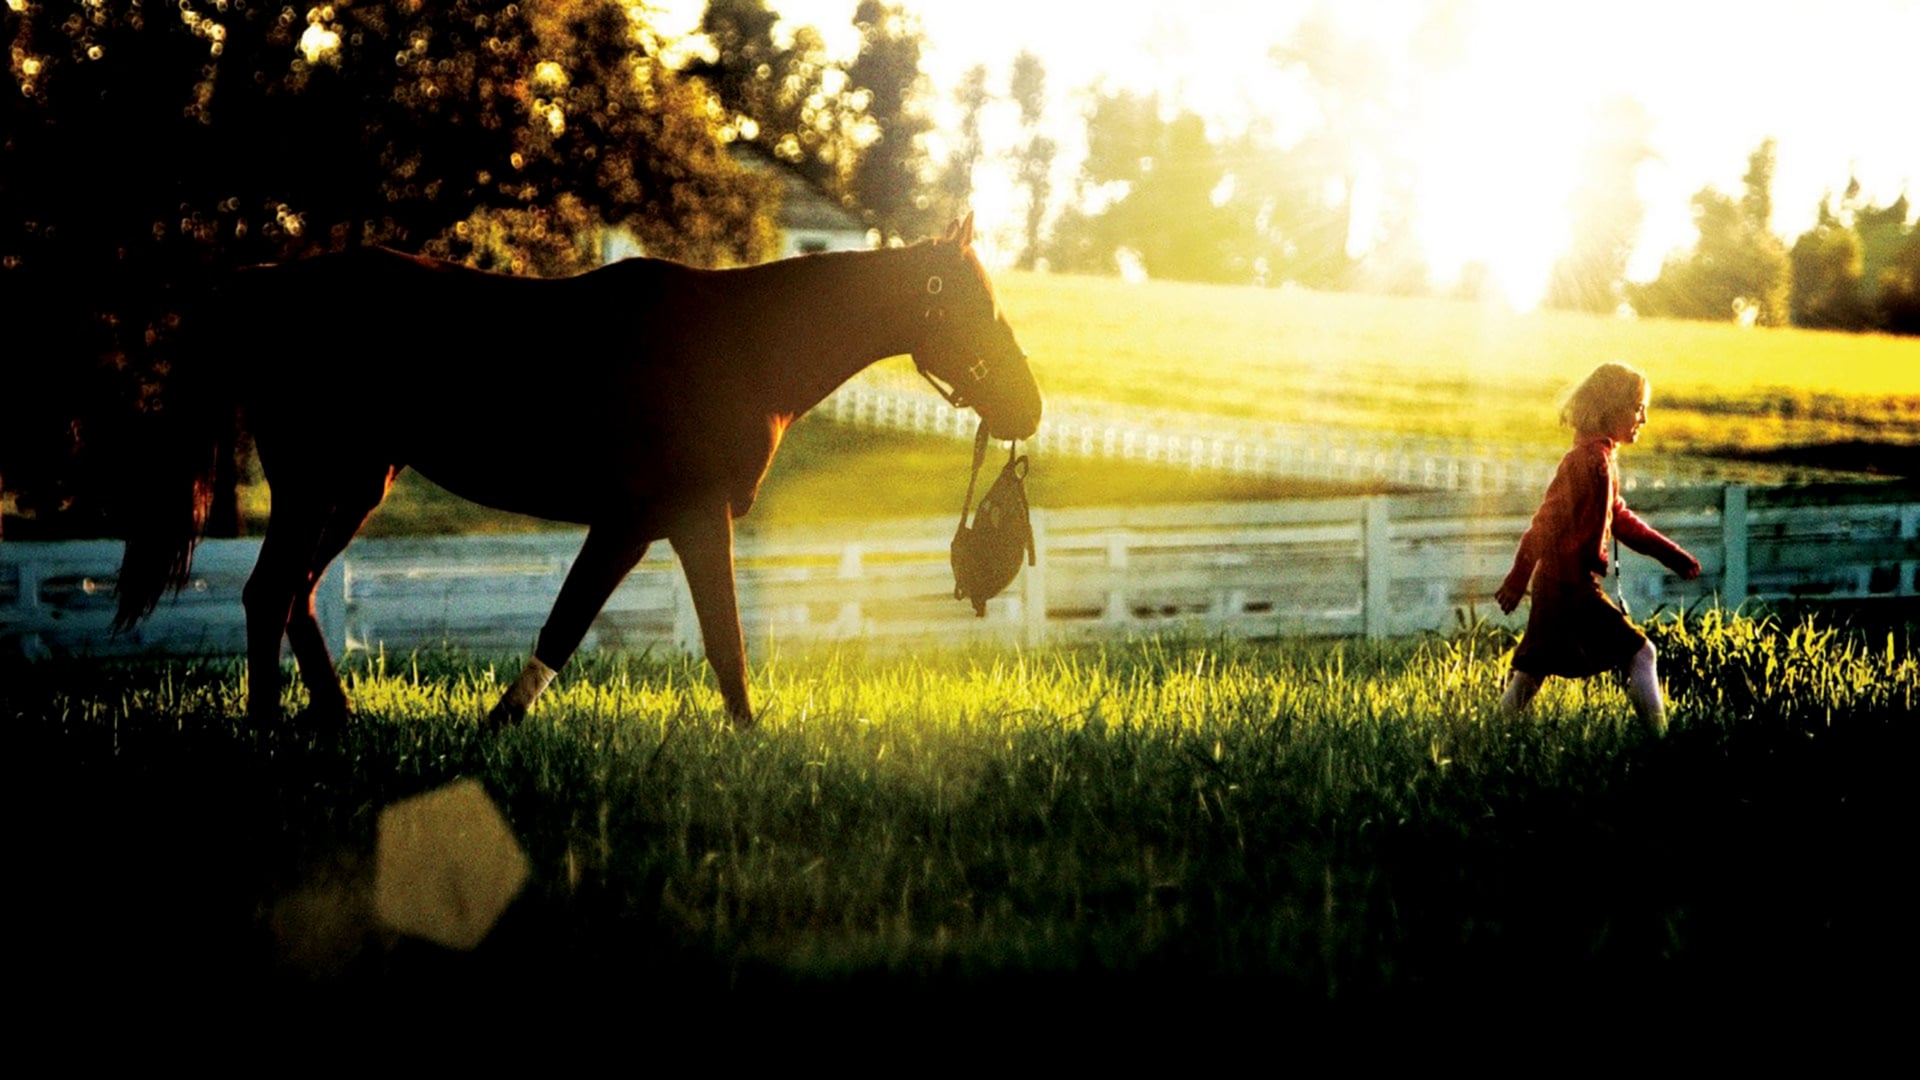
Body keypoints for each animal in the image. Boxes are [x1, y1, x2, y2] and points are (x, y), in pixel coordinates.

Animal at [112, 214, 1044, 726]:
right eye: (975, 306)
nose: (1030, 409)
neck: (740, 348)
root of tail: (264, 284)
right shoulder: (668, 519)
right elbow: (693, 637)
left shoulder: (653, 526)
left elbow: (628, 633)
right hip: (316, 483)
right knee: (269, 592)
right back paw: (272, 728)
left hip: (356, 486)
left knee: (297, 593)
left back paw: (336, 722)